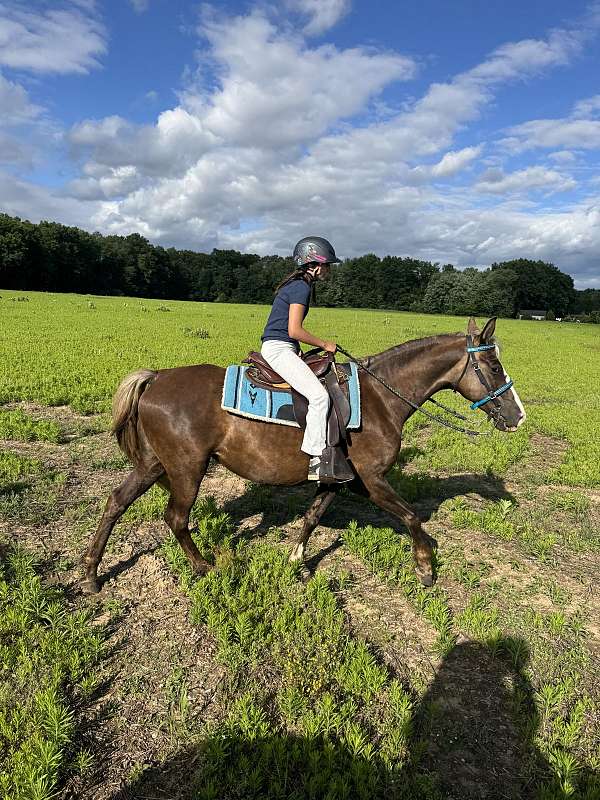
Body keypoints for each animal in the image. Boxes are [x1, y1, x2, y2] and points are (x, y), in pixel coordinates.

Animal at [82, 317, 525, 594]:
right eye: (493, 365)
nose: (518, 415)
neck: (380, 399)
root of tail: (156, 377)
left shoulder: (339, 478)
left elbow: (313, 516)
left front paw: (296, 560)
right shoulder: (372, 480)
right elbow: (412, 516)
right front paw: (425, 566)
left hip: (153, 463)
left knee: (115, 502)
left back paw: (90, 574)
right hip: (187, 468)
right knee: (175, 518)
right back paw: (204, 566)